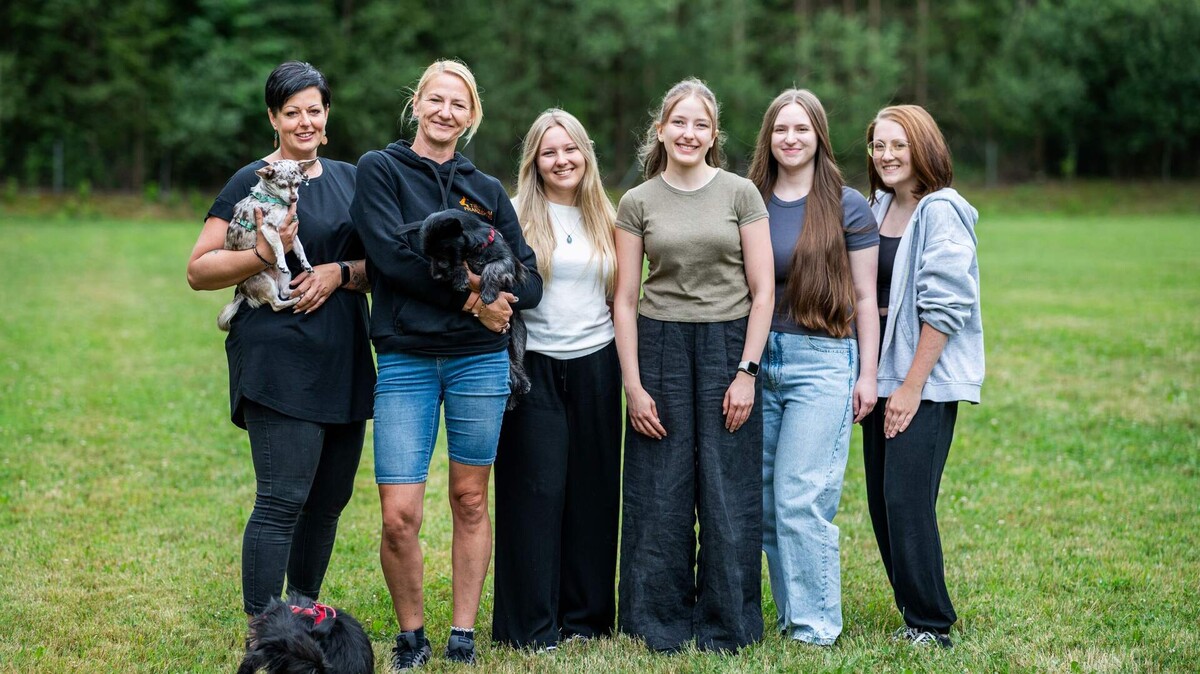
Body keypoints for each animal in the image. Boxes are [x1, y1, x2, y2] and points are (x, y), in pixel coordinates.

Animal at [217, 159, 317, 331]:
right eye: (282, 185)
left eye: (298, 184)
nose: (294, 199)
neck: (274, 199)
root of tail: (242, 292)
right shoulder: (269, 228)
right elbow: (280, 246)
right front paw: (282, 260)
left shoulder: (293, 233)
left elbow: (300, 250)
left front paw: (306, 265)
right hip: (265, 282)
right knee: (276, 303)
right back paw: (294, 298)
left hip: (286, 276)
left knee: (284, 292)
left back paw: (297, 294)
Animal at [419, 209, 531, 409]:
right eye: (429, 255)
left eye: (441, 252)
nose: (436, 277)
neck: (475, 248)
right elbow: (460, 265)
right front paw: (460, 277)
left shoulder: (508, 262)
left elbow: (493, 267)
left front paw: (488, 292)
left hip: (518, 336)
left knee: (516, 361)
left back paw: (523, 384)